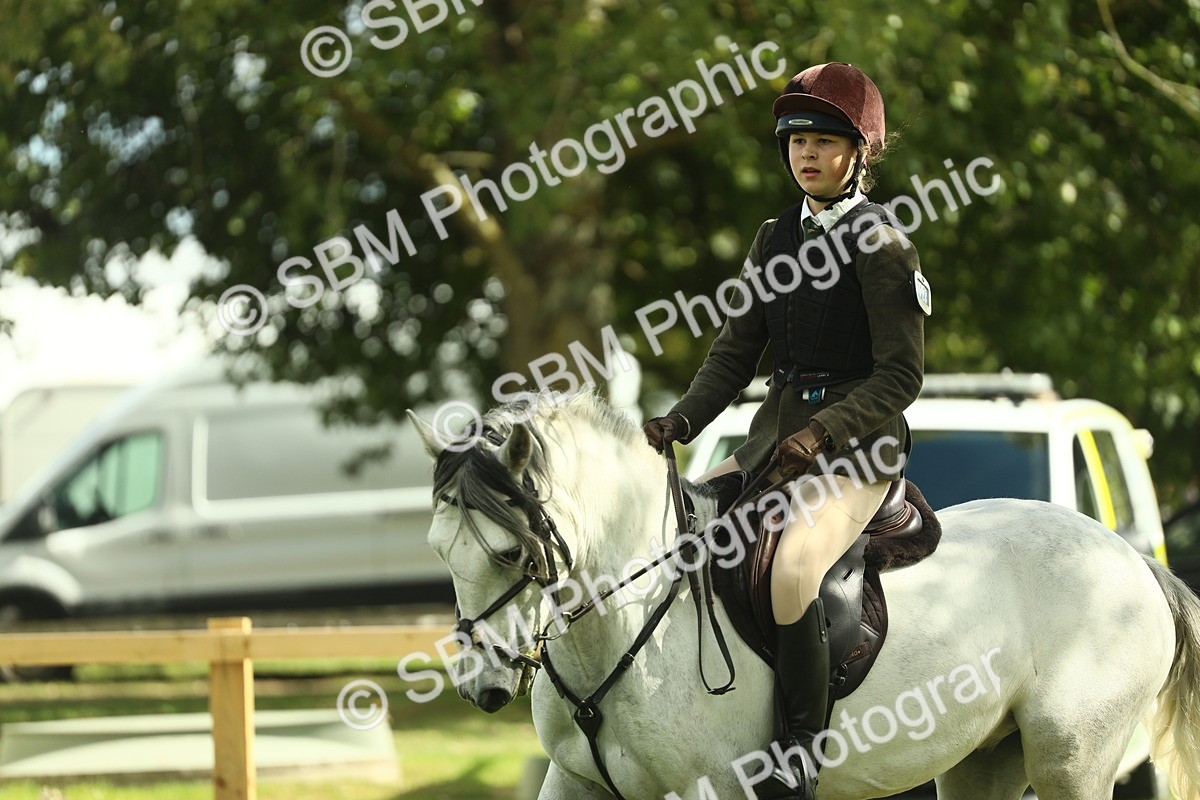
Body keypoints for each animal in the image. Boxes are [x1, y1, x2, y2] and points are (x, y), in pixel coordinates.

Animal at [407, 391, 1200, 800]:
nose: (483, 688)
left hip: (1073, 758)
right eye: (439, 551)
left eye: (512, 553)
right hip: (987, 760)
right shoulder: (576, 784)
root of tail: (1133, 560)